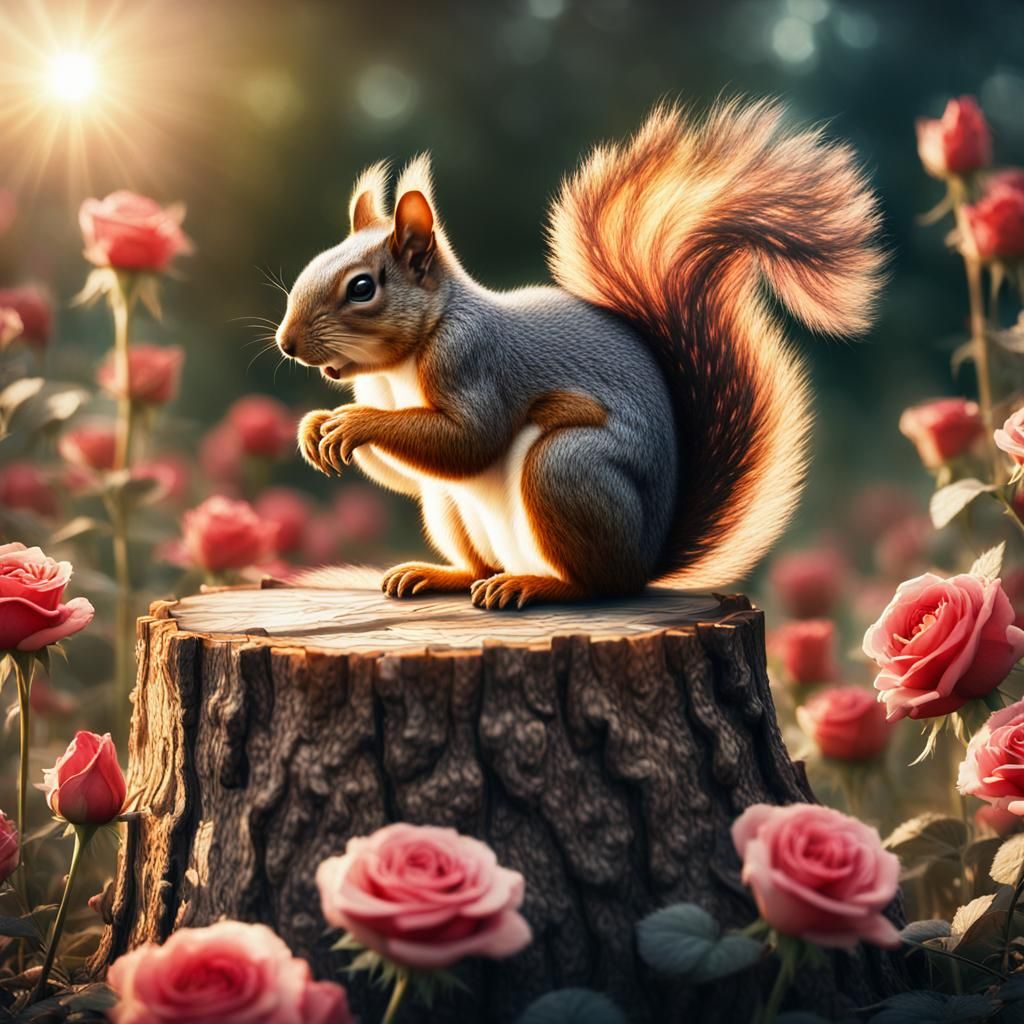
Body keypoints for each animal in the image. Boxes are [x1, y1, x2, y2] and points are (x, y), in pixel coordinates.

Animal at [275, 100, 883, 610]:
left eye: (361, 288)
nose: (287, 343)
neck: (400, 365)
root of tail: (647, 561)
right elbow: (403, 472)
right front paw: (314, 425)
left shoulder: (472, 360)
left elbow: (470, 440)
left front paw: (353, 422)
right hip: (449, 507)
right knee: (477, 563)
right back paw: (438, 574)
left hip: (565, 469)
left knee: (596, 585)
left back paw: (535, 585)